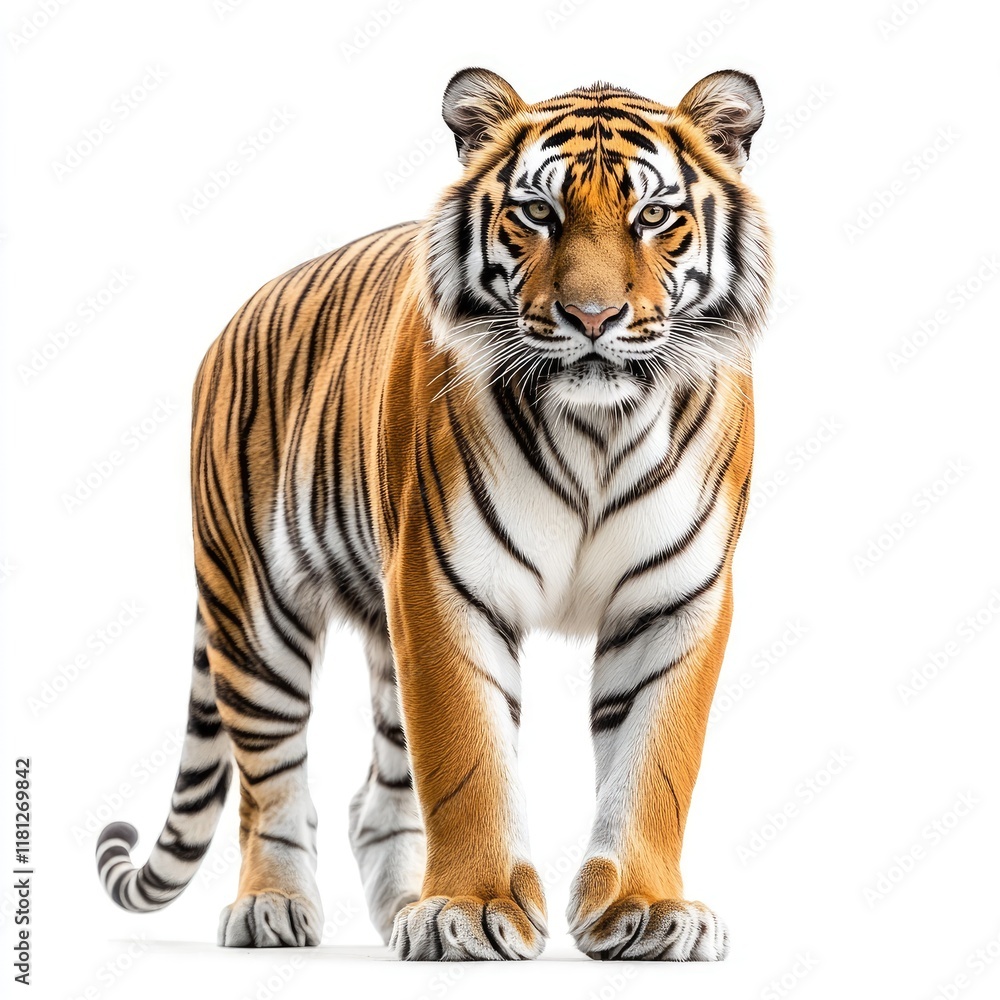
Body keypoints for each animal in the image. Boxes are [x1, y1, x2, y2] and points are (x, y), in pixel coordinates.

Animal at [94, 66, 772, 962]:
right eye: (537, 214)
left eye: (654, 216)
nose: (593, 319)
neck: (597, 427)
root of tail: (237, 316)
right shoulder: (441, 584)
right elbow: (466, 758)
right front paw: (472, 908)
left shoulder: (674, 599)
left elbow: (655, 763)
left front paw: (649, 909)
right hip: (254, 611)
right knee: (271, 782)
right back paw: (273, 907)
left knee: (373, 800)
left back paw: (397, 914)